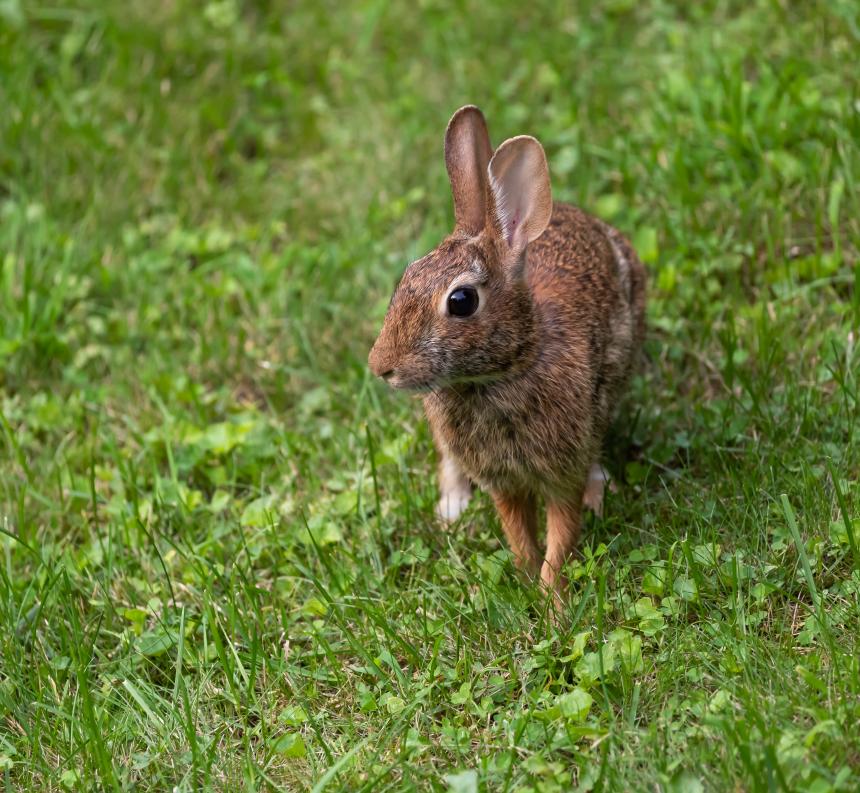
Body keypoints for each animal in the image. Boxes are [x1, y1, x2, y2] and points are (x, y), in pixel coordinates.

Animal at [364, 105, 644, 600]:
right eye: (406, 280)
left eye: (461, 301)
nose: (381, 367)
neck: (507, 367)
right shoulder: (503, 482)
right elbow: (518, 534)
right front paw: (529, 582)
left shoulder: (561, 471)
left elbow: (561, 535)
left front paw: (551, 601)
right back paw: (452, 507)